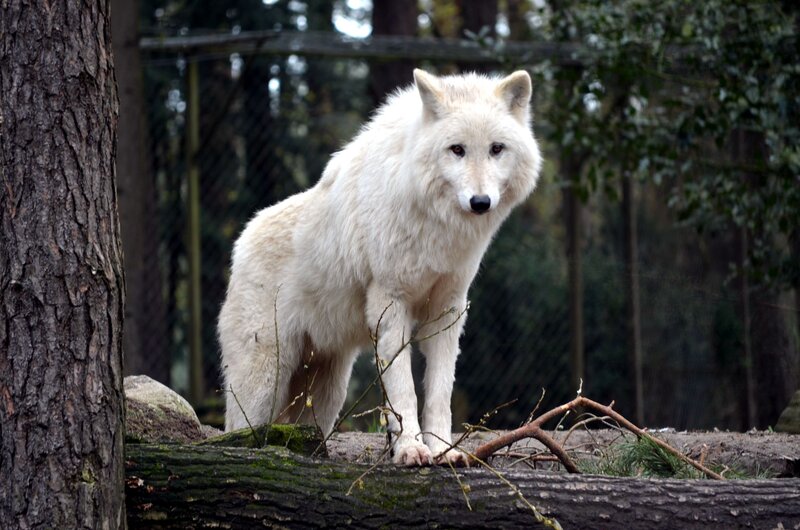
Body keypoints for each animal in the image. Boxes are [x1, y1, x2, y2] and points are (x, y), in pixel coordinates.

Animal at [218, 69, 542, 466]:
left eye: (497, 149)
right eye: (457, 149)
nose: (480, 202)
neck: (434, 225)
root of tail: (240, 245)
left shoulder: (448, 310)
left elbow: (439, 392)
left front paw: (442, 450)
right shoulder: (390, 304)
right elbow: (404, 390)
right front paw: (411, 449)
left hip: (327, 388)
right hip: (265, 381)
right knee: (237, 427)